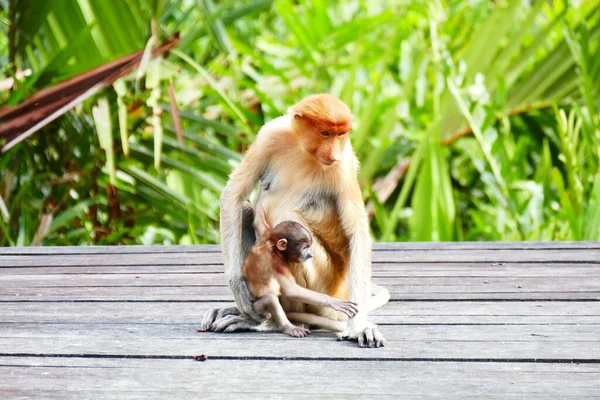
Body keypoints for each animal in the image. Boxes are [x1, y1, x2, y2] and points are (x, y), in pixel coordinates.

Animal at [243, 209, 358, 338]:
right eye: (304, 247)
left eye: (308, 247)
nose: (310, 254)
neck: (272, 246)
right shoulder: (276, 261)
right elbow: (291, 290)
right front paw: (334, 302)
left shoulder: (265, 236)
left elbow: (259, 223)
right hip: (256, 309)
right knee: (271, 300)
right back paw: (288, 327)